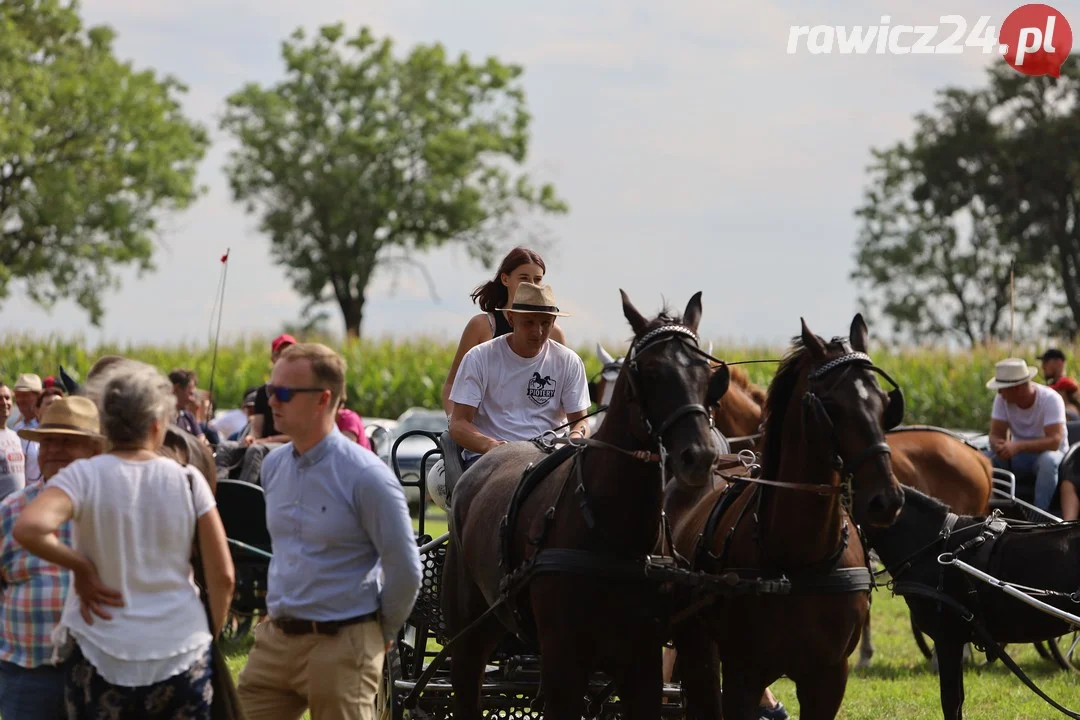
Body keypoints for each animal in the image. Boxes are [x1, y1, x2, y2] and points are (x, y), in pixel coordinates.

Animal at [442, 289, 730, 720]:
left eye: (708, 375)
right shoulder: (563, 660)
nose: (699, 456)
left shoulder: (642, 660)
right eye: (649, 371)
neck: (612, 532)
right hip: (468, 634)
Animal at [669, 315, 907, 720]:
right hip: (696, 646)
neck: (799, 558)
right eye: (831, 406)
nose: (886, 500)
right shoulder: (743, 675)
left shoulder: (828, 677)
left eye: (882, 402)